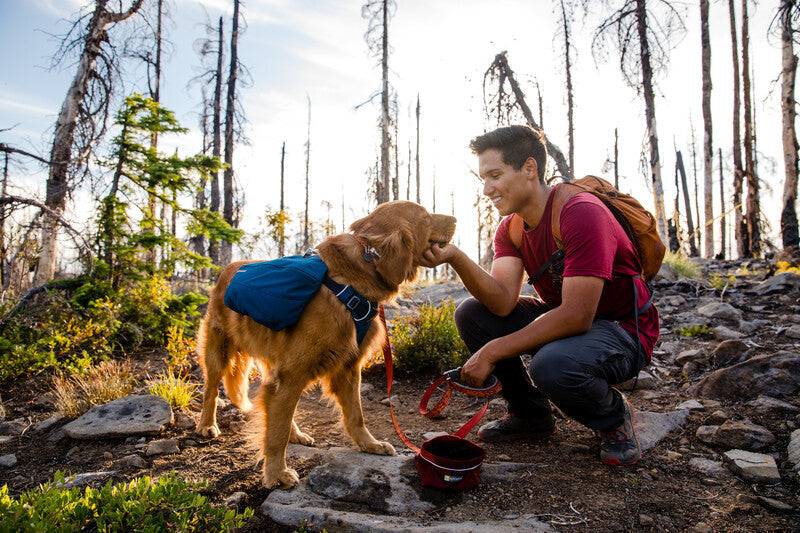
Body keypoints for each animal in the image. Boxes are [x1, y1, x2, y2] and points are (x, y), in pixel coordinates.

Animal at [195, 200, 456, 486]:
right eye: (426, 217)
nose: (456, 218)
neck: (356, 274)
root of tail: (227, 270)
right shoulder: (294, 372)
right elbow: (276, 433)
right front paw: (276, 472)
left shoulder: (347, 367)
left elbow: (355, 414)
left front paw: (369, 444)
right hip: (219, 351)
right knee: (212, 390)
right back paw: (207, 425)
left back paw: (296, 433)